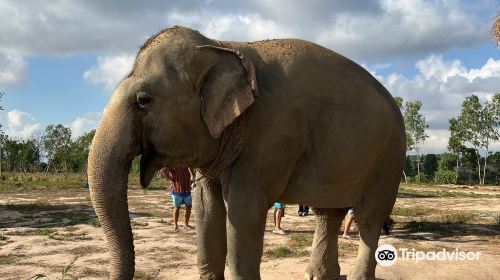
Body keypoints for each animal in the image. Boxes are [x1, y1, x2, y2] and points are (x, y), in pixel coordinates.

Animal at [87, 26, 406, 280]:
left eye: (144, 101)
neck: (223, 45)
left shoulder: (273, 133)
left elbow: (244, 208)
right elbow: (206, 206)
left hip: (390, 158)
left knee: (369, 218)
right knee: (328, 213)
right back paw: (318, 276)